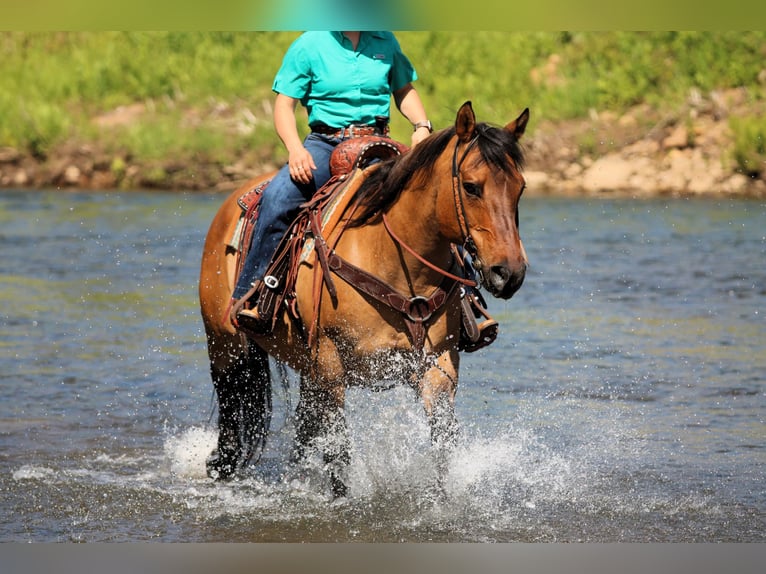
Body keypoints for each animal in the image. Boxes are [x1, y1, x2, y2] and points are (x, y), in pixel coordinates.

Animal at [198, 101, 529, 497]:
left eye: (521, 188)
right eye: (471, 186)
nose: (509, 273)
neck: (394, 261)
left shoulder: (438, 363)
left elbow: (443, 444)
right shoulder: (330, 362)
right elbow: (339, 452)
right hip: (226, 346)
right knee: (232, 426)